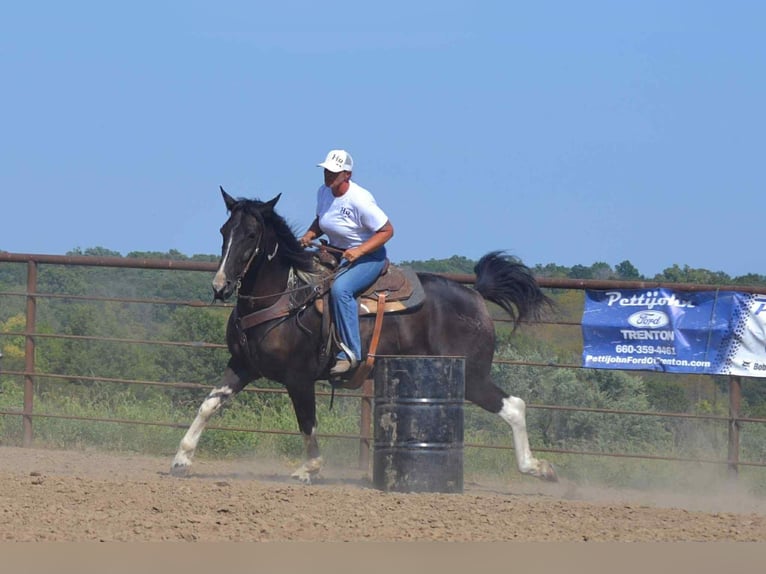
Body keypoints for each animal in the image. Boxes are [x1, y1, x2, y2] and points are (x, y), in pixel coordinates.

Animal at [171, 188, 558, 484]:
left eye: (251, 235)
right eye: (224, 230)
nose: (220, 286)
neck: (284, 296)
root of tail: (476, 297)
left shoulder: (299, 377)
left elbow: (307, 421)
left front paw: (310, 468)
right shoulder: (243, 365)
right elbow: (209, 404)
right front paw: (181, 459)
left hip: (471, 376)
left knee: (514, 406)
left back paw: (538, 467)